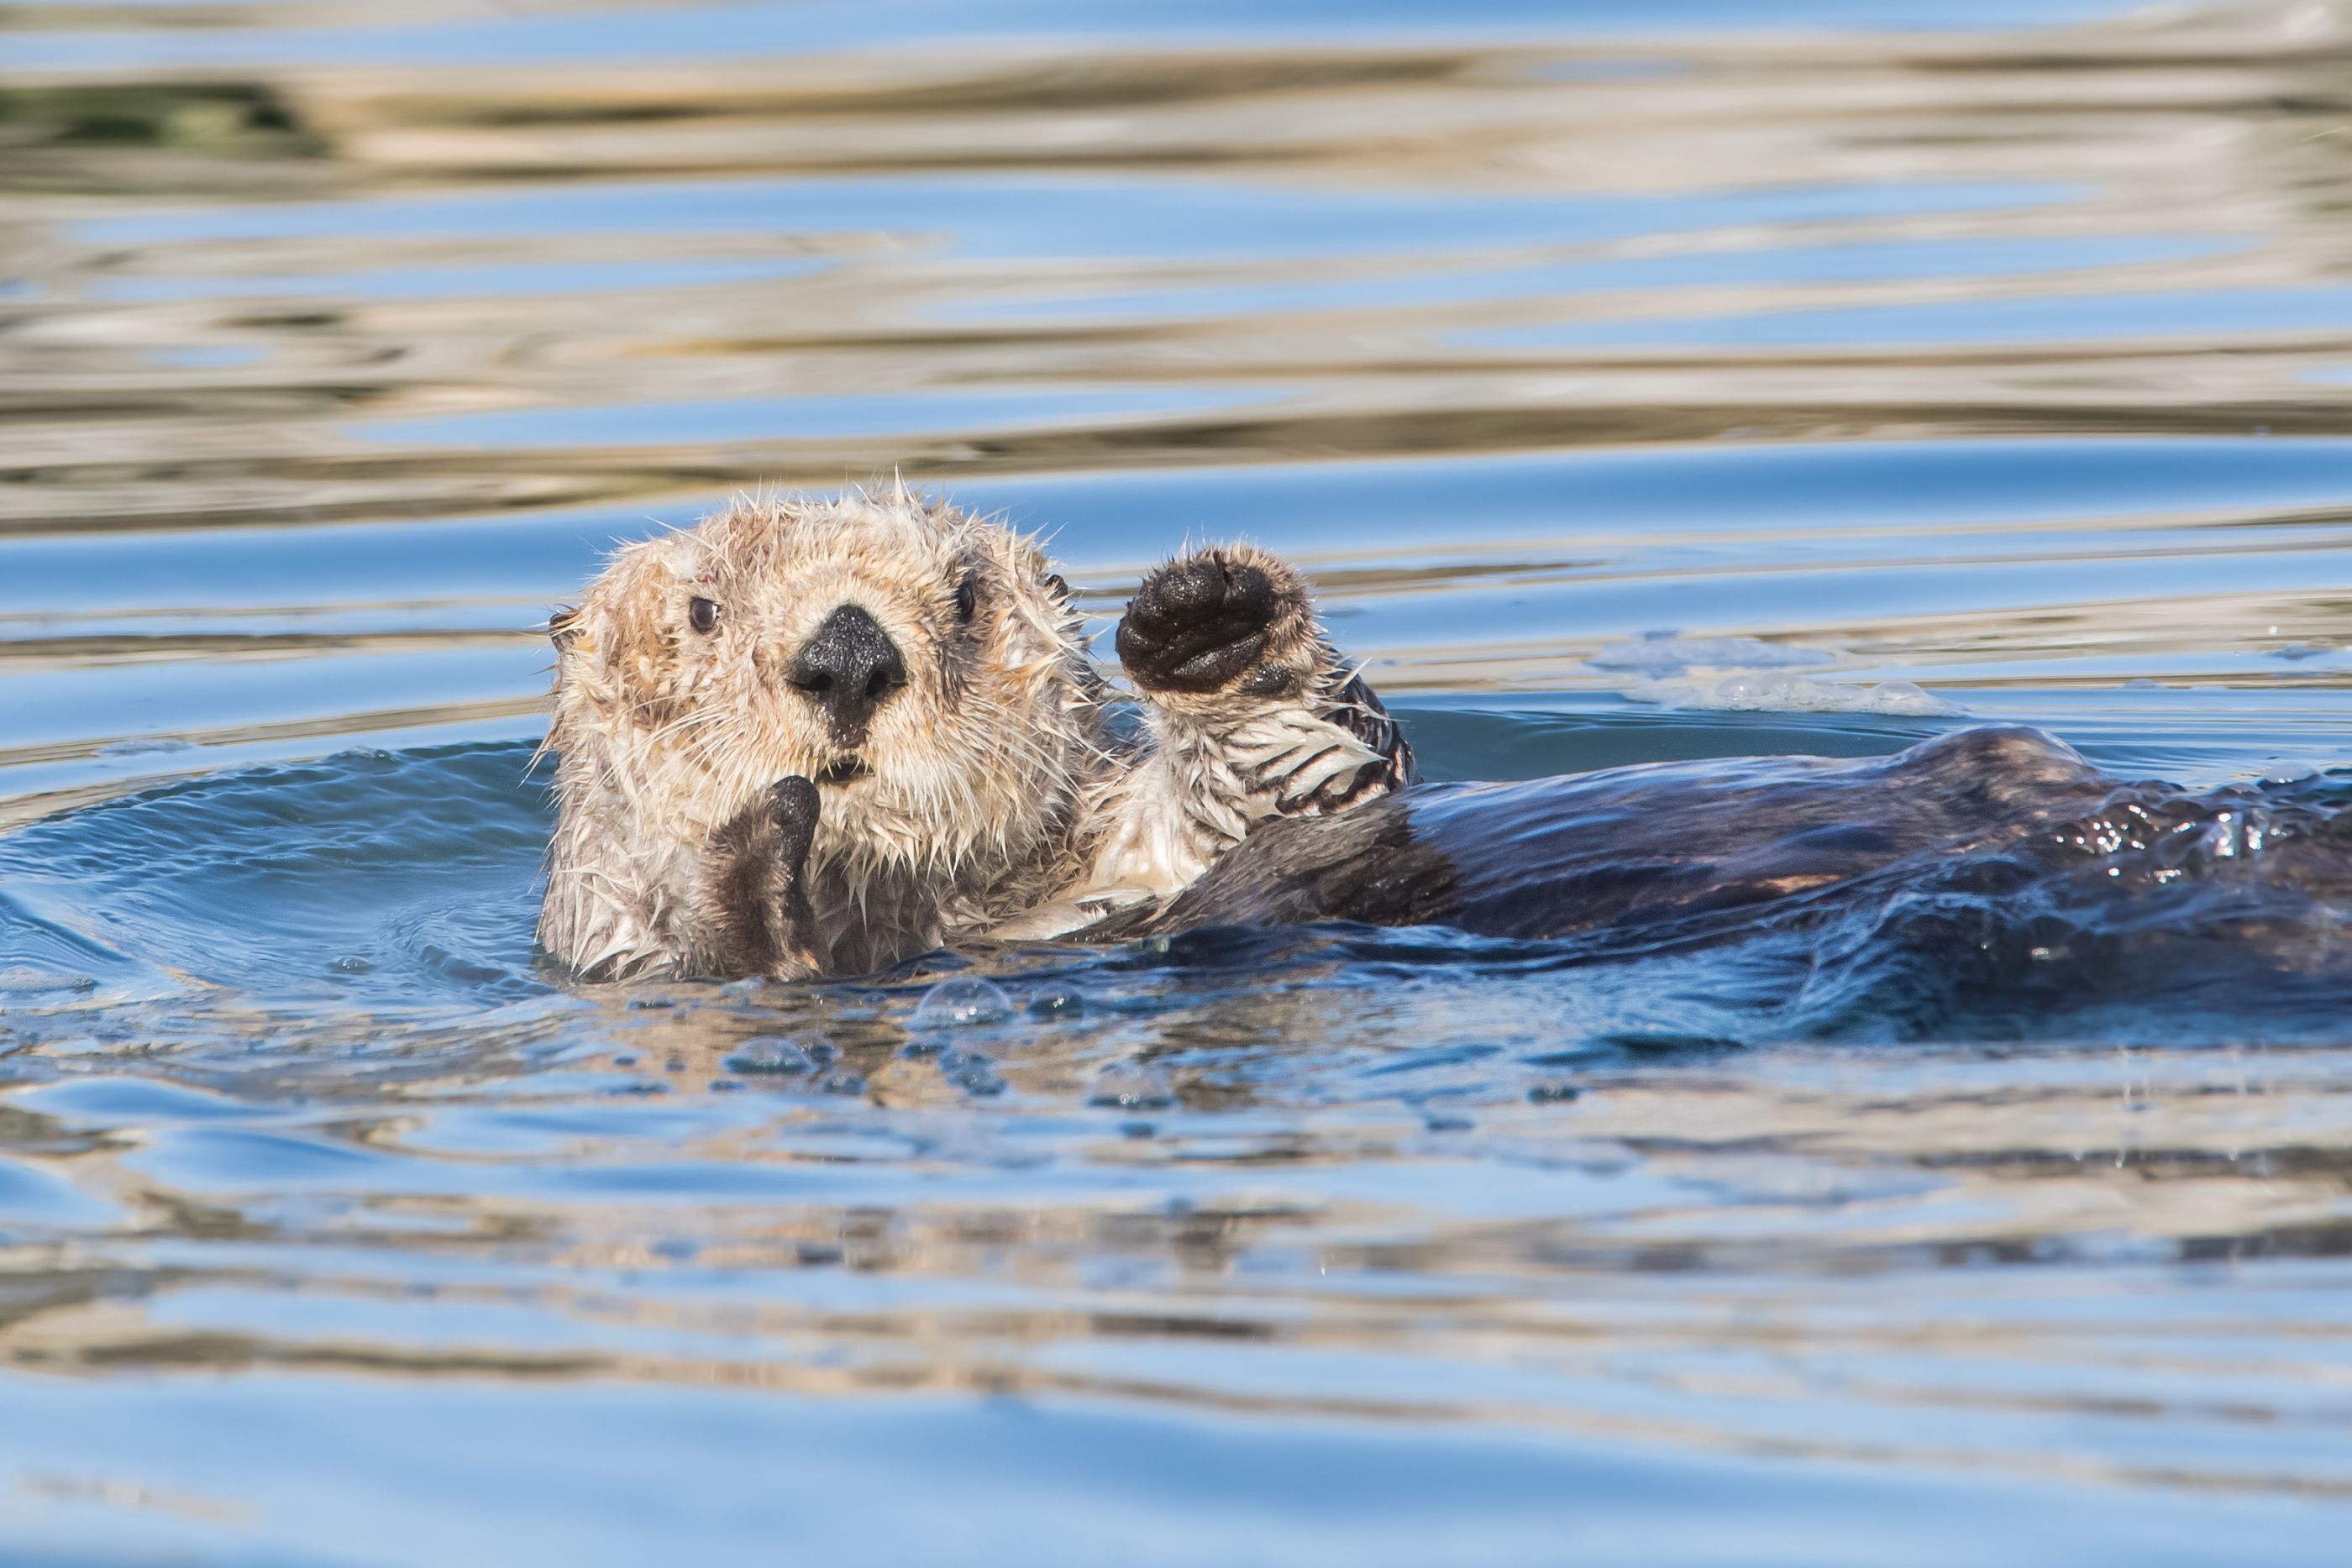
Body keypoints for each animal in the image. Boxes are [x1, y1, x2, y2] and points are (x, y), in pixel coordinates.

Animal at [537, 487, 1411, 980]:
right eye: (702, 610)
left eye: (964, 599)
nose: (848, 654)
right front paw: (761, 842)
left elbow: (1285, 795)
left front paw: (1206, 617)